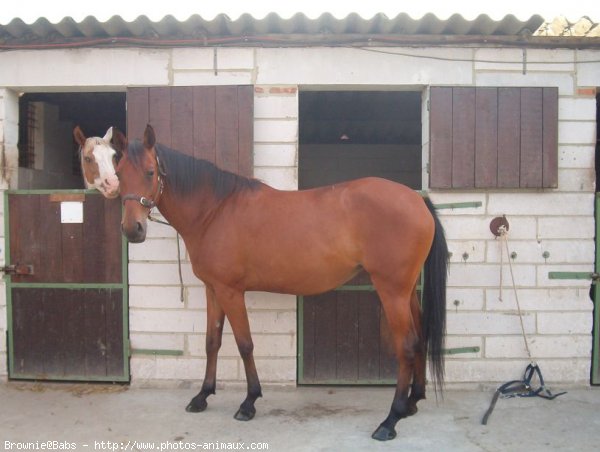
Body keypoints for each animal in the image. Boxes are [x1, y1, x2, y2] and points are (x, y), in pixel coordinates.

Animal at [113, 124, 450, 442]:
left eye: (150, 172)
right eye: (118, 174)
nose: (132, 229)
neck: (215, 210)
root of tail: (416, 199)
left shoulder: (231, 291)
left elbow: (245, 344)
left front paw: (249, 402)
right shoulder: (213, 290)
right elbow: (212, 342)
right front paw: (202, 396)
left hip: (391, 291)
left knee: (406, 345)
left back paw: (390, 420)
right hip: (406, 291)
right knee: (420, 337)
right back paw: (413, 402)